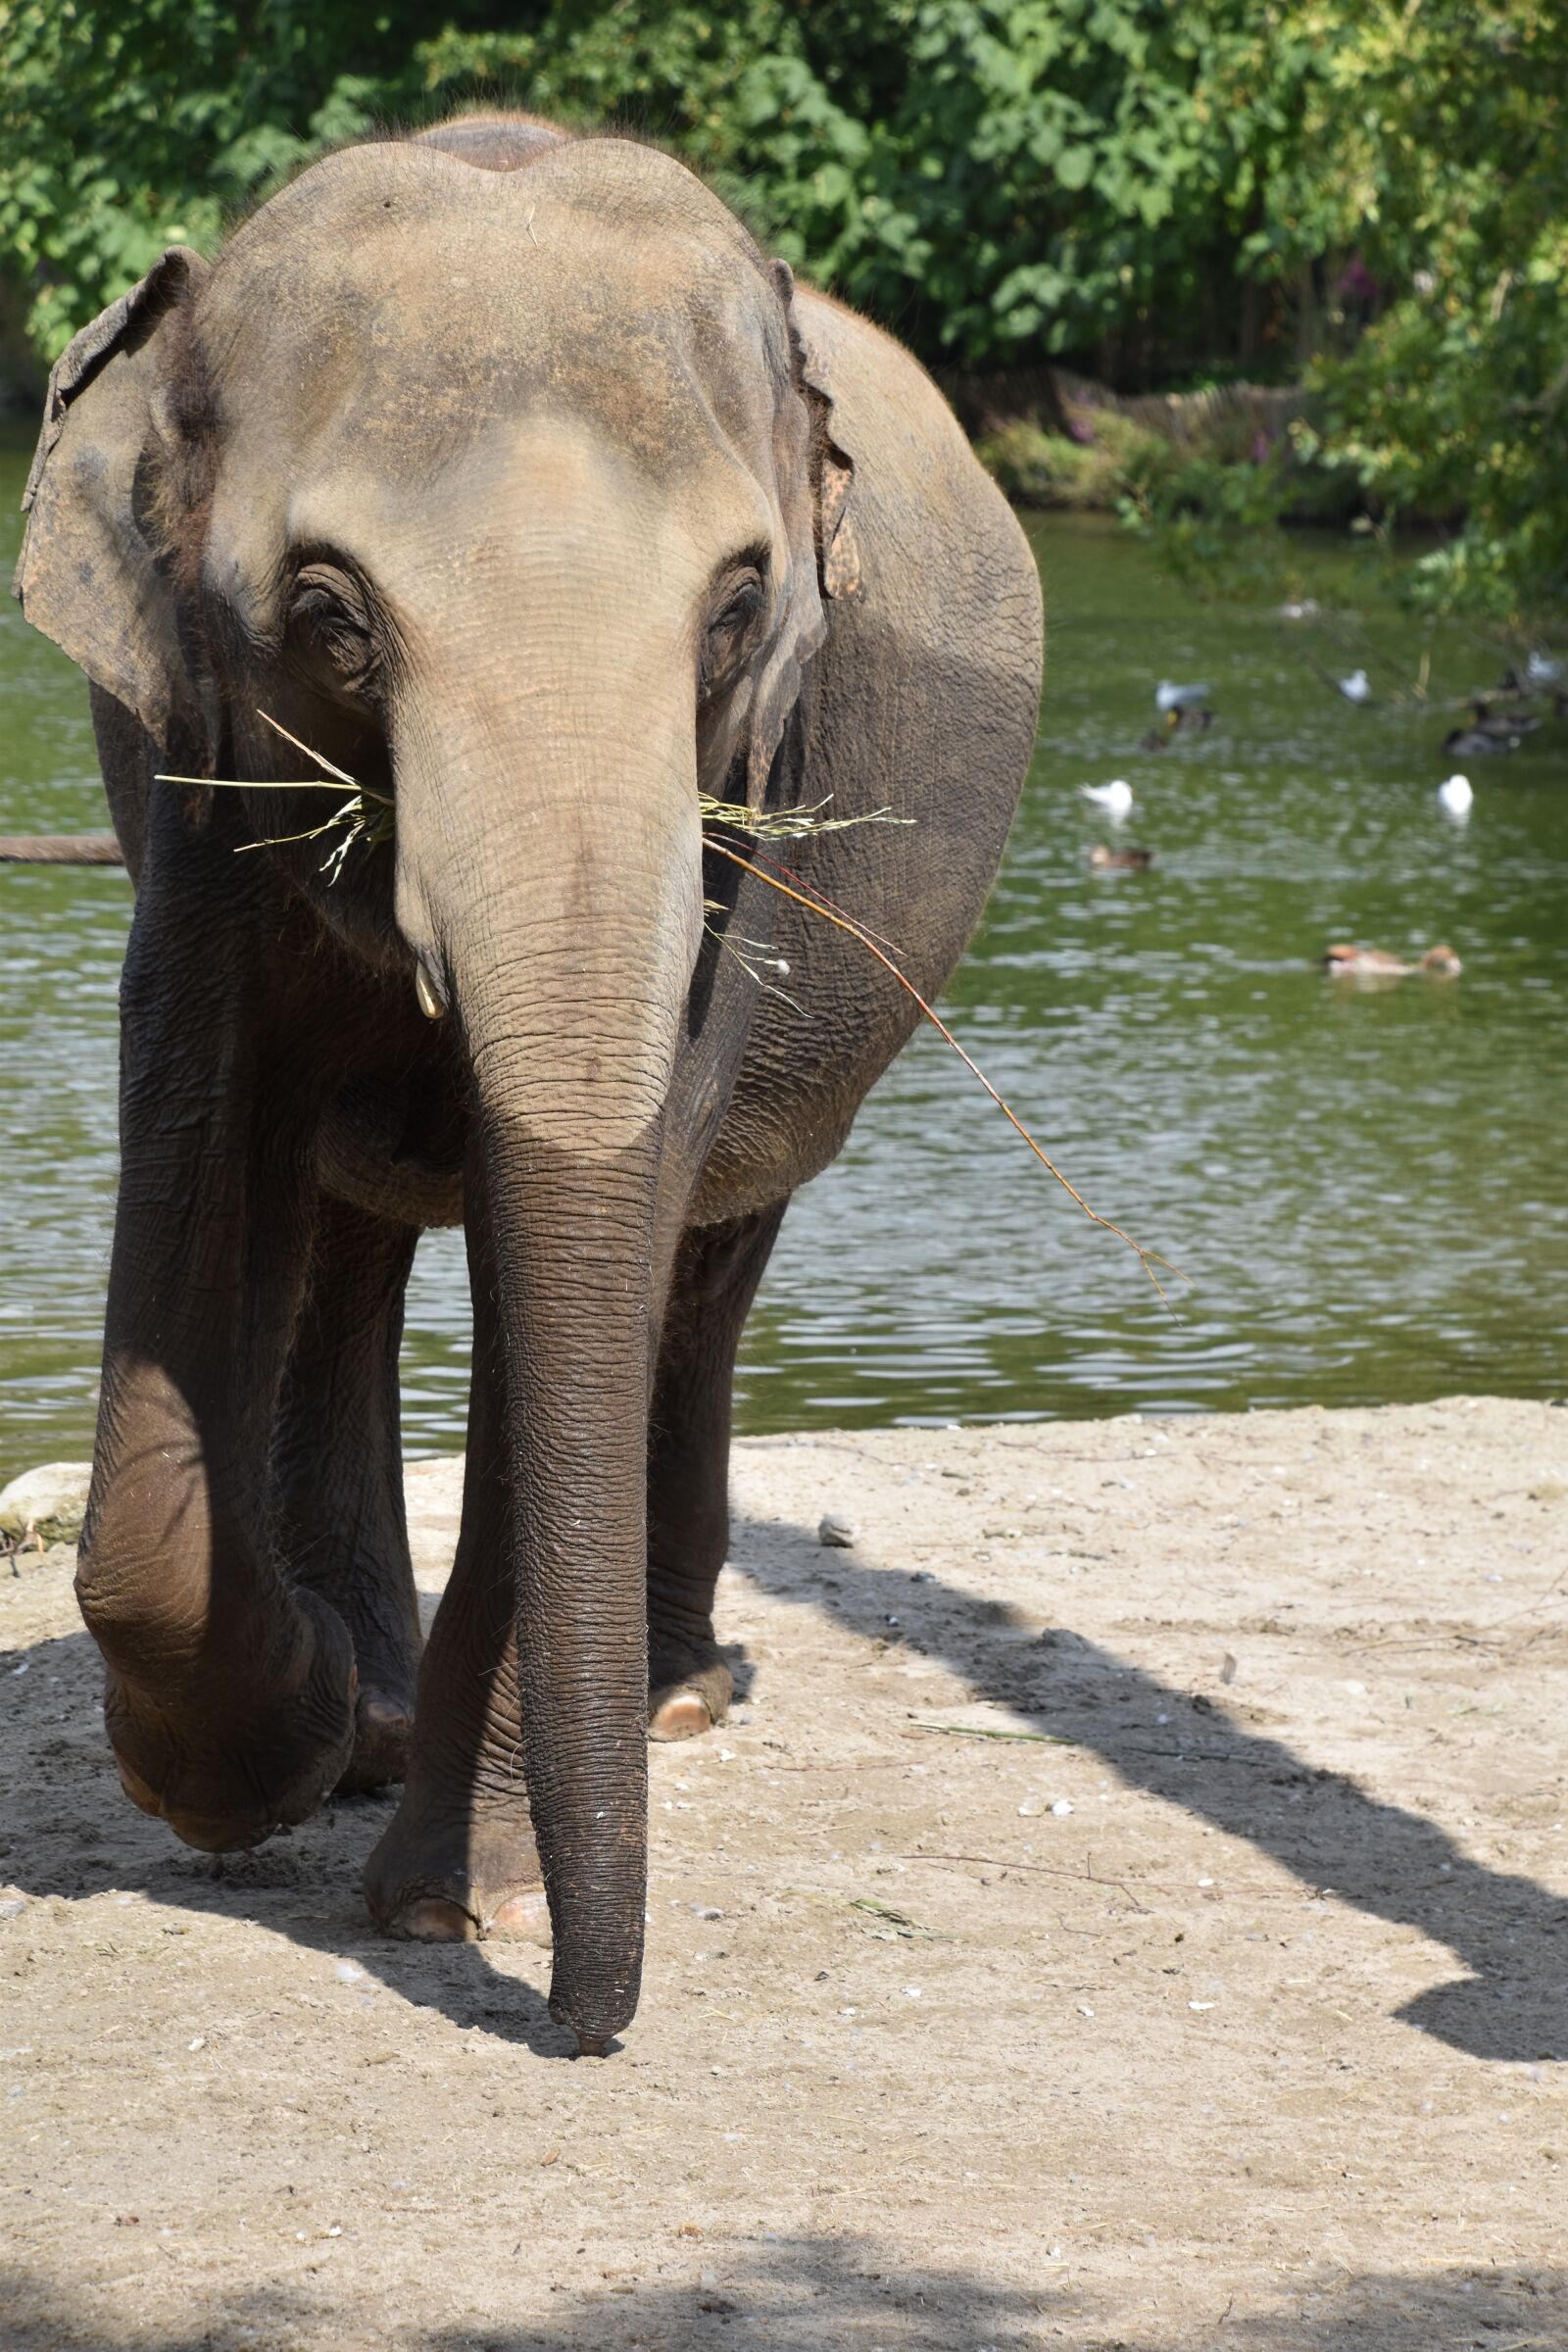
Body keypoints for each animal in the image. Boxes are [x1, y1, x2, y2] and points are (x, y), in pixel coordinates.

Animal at [13, 112, 1042, 2051]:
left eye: (738, 608)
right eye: (328, 613)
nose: (586, 2021)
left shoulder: (739, 820)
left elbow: (585, 1239)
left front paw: (446, 1901)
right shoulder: (195, 793)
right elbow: (208, 1148)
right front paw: (269, 1760)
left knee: (702, 1269)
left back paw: (672, 1696)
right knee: (347, 1240)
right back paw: (375, 1707)